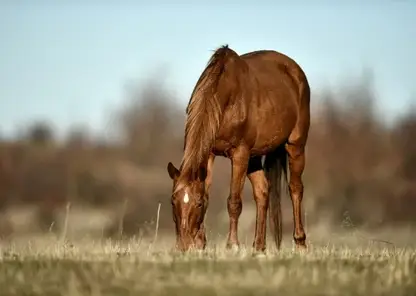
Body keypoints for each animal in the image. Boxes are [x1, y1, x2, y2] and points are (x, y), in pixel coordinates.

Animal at [166, 44, 308, 252]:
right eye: (172, 201)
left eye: (198, 204)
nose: (184, 246)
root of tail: (295, 71)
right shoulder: (210, 153)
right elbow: (208, 191)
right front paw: (201, 243)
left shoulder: (240, 153)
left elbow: (234, 202)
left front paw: (232, 245)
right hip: (254, 157)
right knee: (262, 191)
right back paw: (259, 247)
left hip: (295, 146)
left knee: (295, 189)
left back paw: (300, 243)